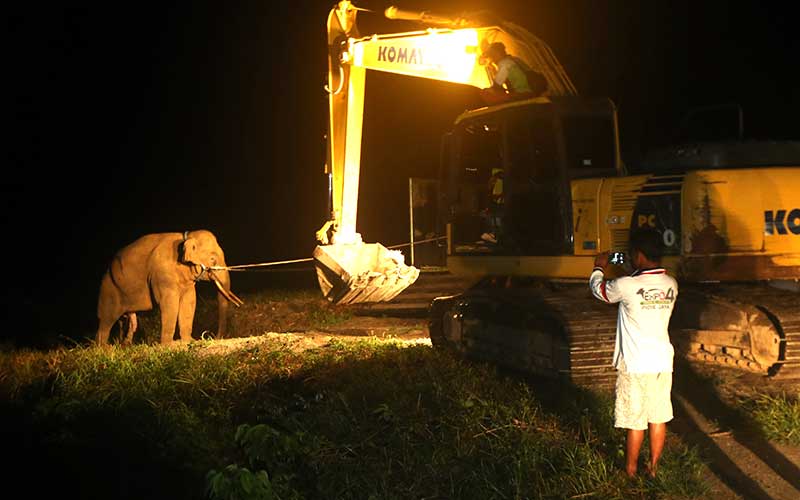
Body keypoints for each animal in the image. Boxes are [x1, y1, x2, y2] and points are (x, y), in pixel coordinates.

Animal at [95, 229, 242, 344]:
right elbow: (169, 303)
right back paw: (103, 348)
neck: (186, 238)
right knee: (106, 319)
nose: (209, 336)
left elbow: (189, 301)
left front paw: (188, 341)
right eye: (212, 259)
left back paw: (124, 345)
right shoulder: (162, 274)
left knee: (129, 321)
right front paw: (168, 345)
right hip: (109, 288)